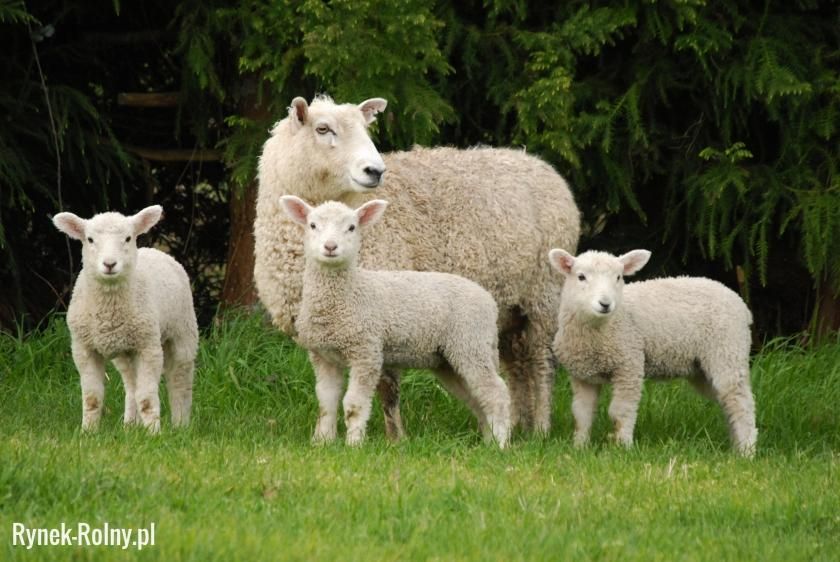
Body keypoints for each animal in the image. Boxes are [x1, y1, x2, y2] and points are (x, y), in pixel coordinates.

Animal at [53, 207, 199, 434]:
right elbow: (92, 398)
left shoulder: (148, 347)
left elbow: (147, 399)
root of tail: (155, 250)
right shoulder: (83, 348)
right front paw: (87, 432)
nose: (109, 264)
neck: (109, 310)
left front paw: (154, 434)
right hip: (125, 350)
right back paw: (130, 425)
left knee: (180, 379)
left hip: (183, 331)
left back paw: (180, 425)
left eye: (128, 238)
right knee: (131, 385)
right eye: (90, 239)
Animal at [280, 195, 512, 448]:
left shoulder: (366, 352)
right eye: (312, 225)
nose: (330, 247)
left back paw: (500, 444)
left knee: (496, 393)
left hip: (471, 342)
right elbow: (326, 402)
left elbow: (353, 405)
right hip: (449, 359)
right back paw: (488, 441)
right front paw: (322, 442)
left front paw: (354, 444)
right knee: (477, 398)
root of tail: (489, 301)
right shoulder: (322, 355)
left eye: (351, 227)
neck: (348, 294)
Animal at [548, 249, 756, 456]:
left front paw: (623, 447)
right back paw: (736, 448)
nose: (605, 304)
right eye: (581, 277)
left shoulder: (629, 364)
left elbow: (621, 411)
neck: (598, 331)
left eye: (618, 277)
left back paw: (747, 451)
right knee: (728, 403)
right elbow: (581, 413)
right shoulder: (583, 375)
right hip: (704, 370)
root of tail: (742, 306)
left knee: (742, 404)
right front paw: (579, 448)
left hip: (728, 351)